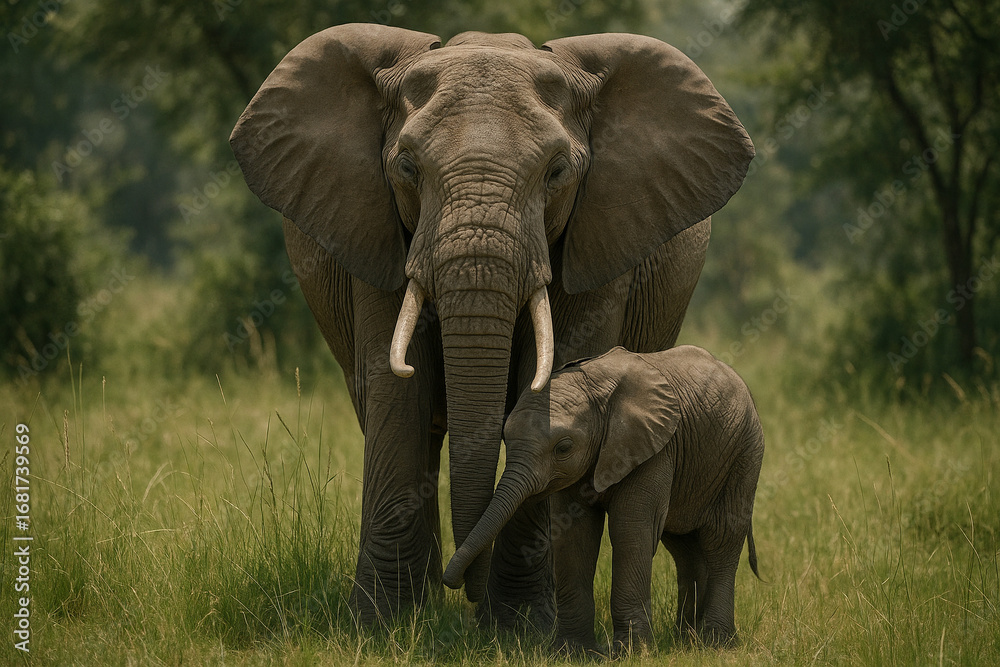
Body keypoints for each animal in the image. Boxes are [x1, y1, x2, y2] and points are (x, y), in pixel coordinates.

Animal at [230, 23, 754, 625]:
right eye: (406, 167)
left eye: (557, 172)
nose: (467, 588)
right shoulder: (375, 227)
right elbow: (395, 394)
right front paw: (382, 624)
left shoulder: (598, 233)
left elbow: (553, 373)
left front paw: (518, 627)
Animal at [443, 346, 764, 653]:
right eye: (505, 438)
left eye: (564, 448)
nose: (451, 581)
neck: (593, 388)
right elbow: (574, 536)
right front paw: (571, 653)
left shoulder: (655, 448)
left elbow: (629, 529)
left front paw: (633, 653)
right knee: (684, 548)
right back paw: (687, 642)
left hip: (744, 453)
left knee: (721, 539)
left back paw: (716, 643)